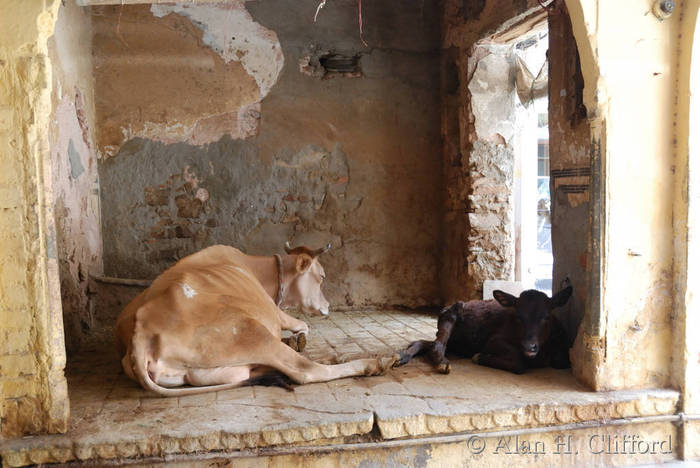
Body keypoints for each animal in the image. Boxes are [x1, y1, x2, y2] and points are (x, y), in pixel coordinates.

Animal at [117, 243, 396, 396]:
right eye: (323, 277)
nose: (327, 306)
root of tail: (139, 336)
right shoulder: (276, 312)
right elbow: (302, 324)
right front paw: (299, 337)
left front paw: (298, 341)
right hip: (250, 332)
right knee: (305, 370)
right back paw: (373, 363)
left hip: (213, 371)